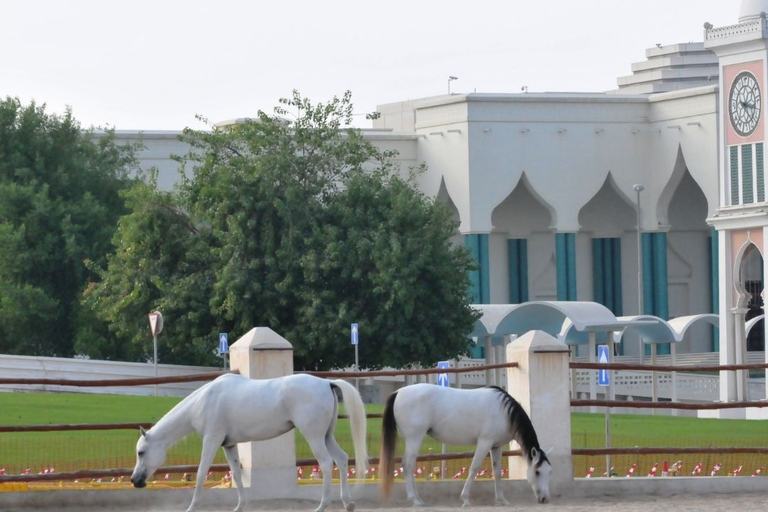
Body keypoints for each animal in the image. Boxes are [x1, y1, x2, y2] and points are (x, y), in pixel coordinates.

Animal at [131, 372, 368, 512]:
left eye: (141, 452)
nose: (135, 480)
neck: (205, 401)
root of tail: (327, 382)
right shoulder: (228, 445)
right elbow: (237, 474)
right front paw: (240, 506)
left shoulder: (212, 440)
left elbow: (200, 473)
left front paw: (192, 507)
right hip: (327, 436)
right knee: (342, 460)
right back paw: (348, 503)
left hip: (315, 437)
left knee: (327, 464)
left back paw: (322, 506)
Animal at [380, 382, 552, 506]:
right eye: (537, 472)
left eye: (548, 472)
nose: (545, 499)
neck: (504, 412)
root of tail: (398, 392)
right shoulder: (484, 442)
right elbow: (474, 468)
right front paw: (465, 499)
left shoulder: (496, 446)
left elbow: (497, 472)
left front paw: (502, 500)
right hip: (414, 438)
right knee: (408, 464)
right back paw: (415, 500)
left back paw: (418, 499)